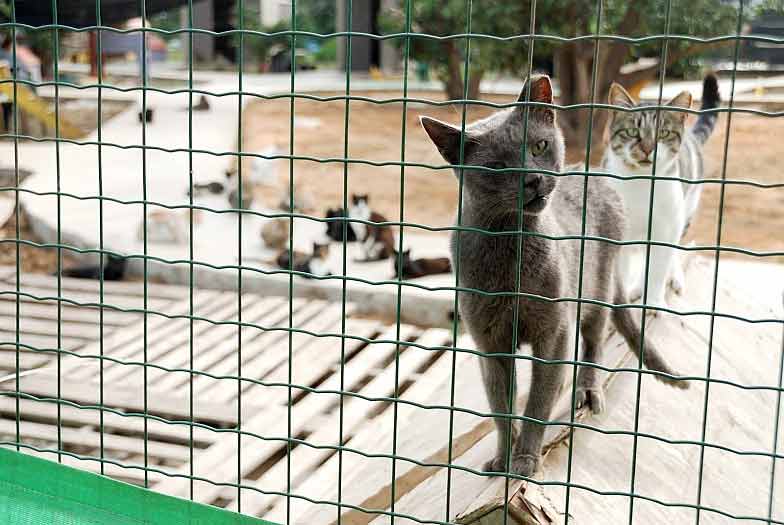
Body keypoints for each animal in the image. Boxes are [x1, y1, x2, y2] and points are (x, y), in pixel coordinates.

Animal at [422, 75, 688, 476]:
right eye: (497, 166)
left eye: (540, 146)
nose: (532, 179)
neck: (511, 252)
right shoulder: (490, 343)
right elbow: (501, 409)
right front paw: (503, 457)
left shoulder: (553, 332)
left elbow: (537, 402)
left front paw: (525, 460)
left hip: (597, 289)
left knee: (593, 342)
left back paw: (588, 391)